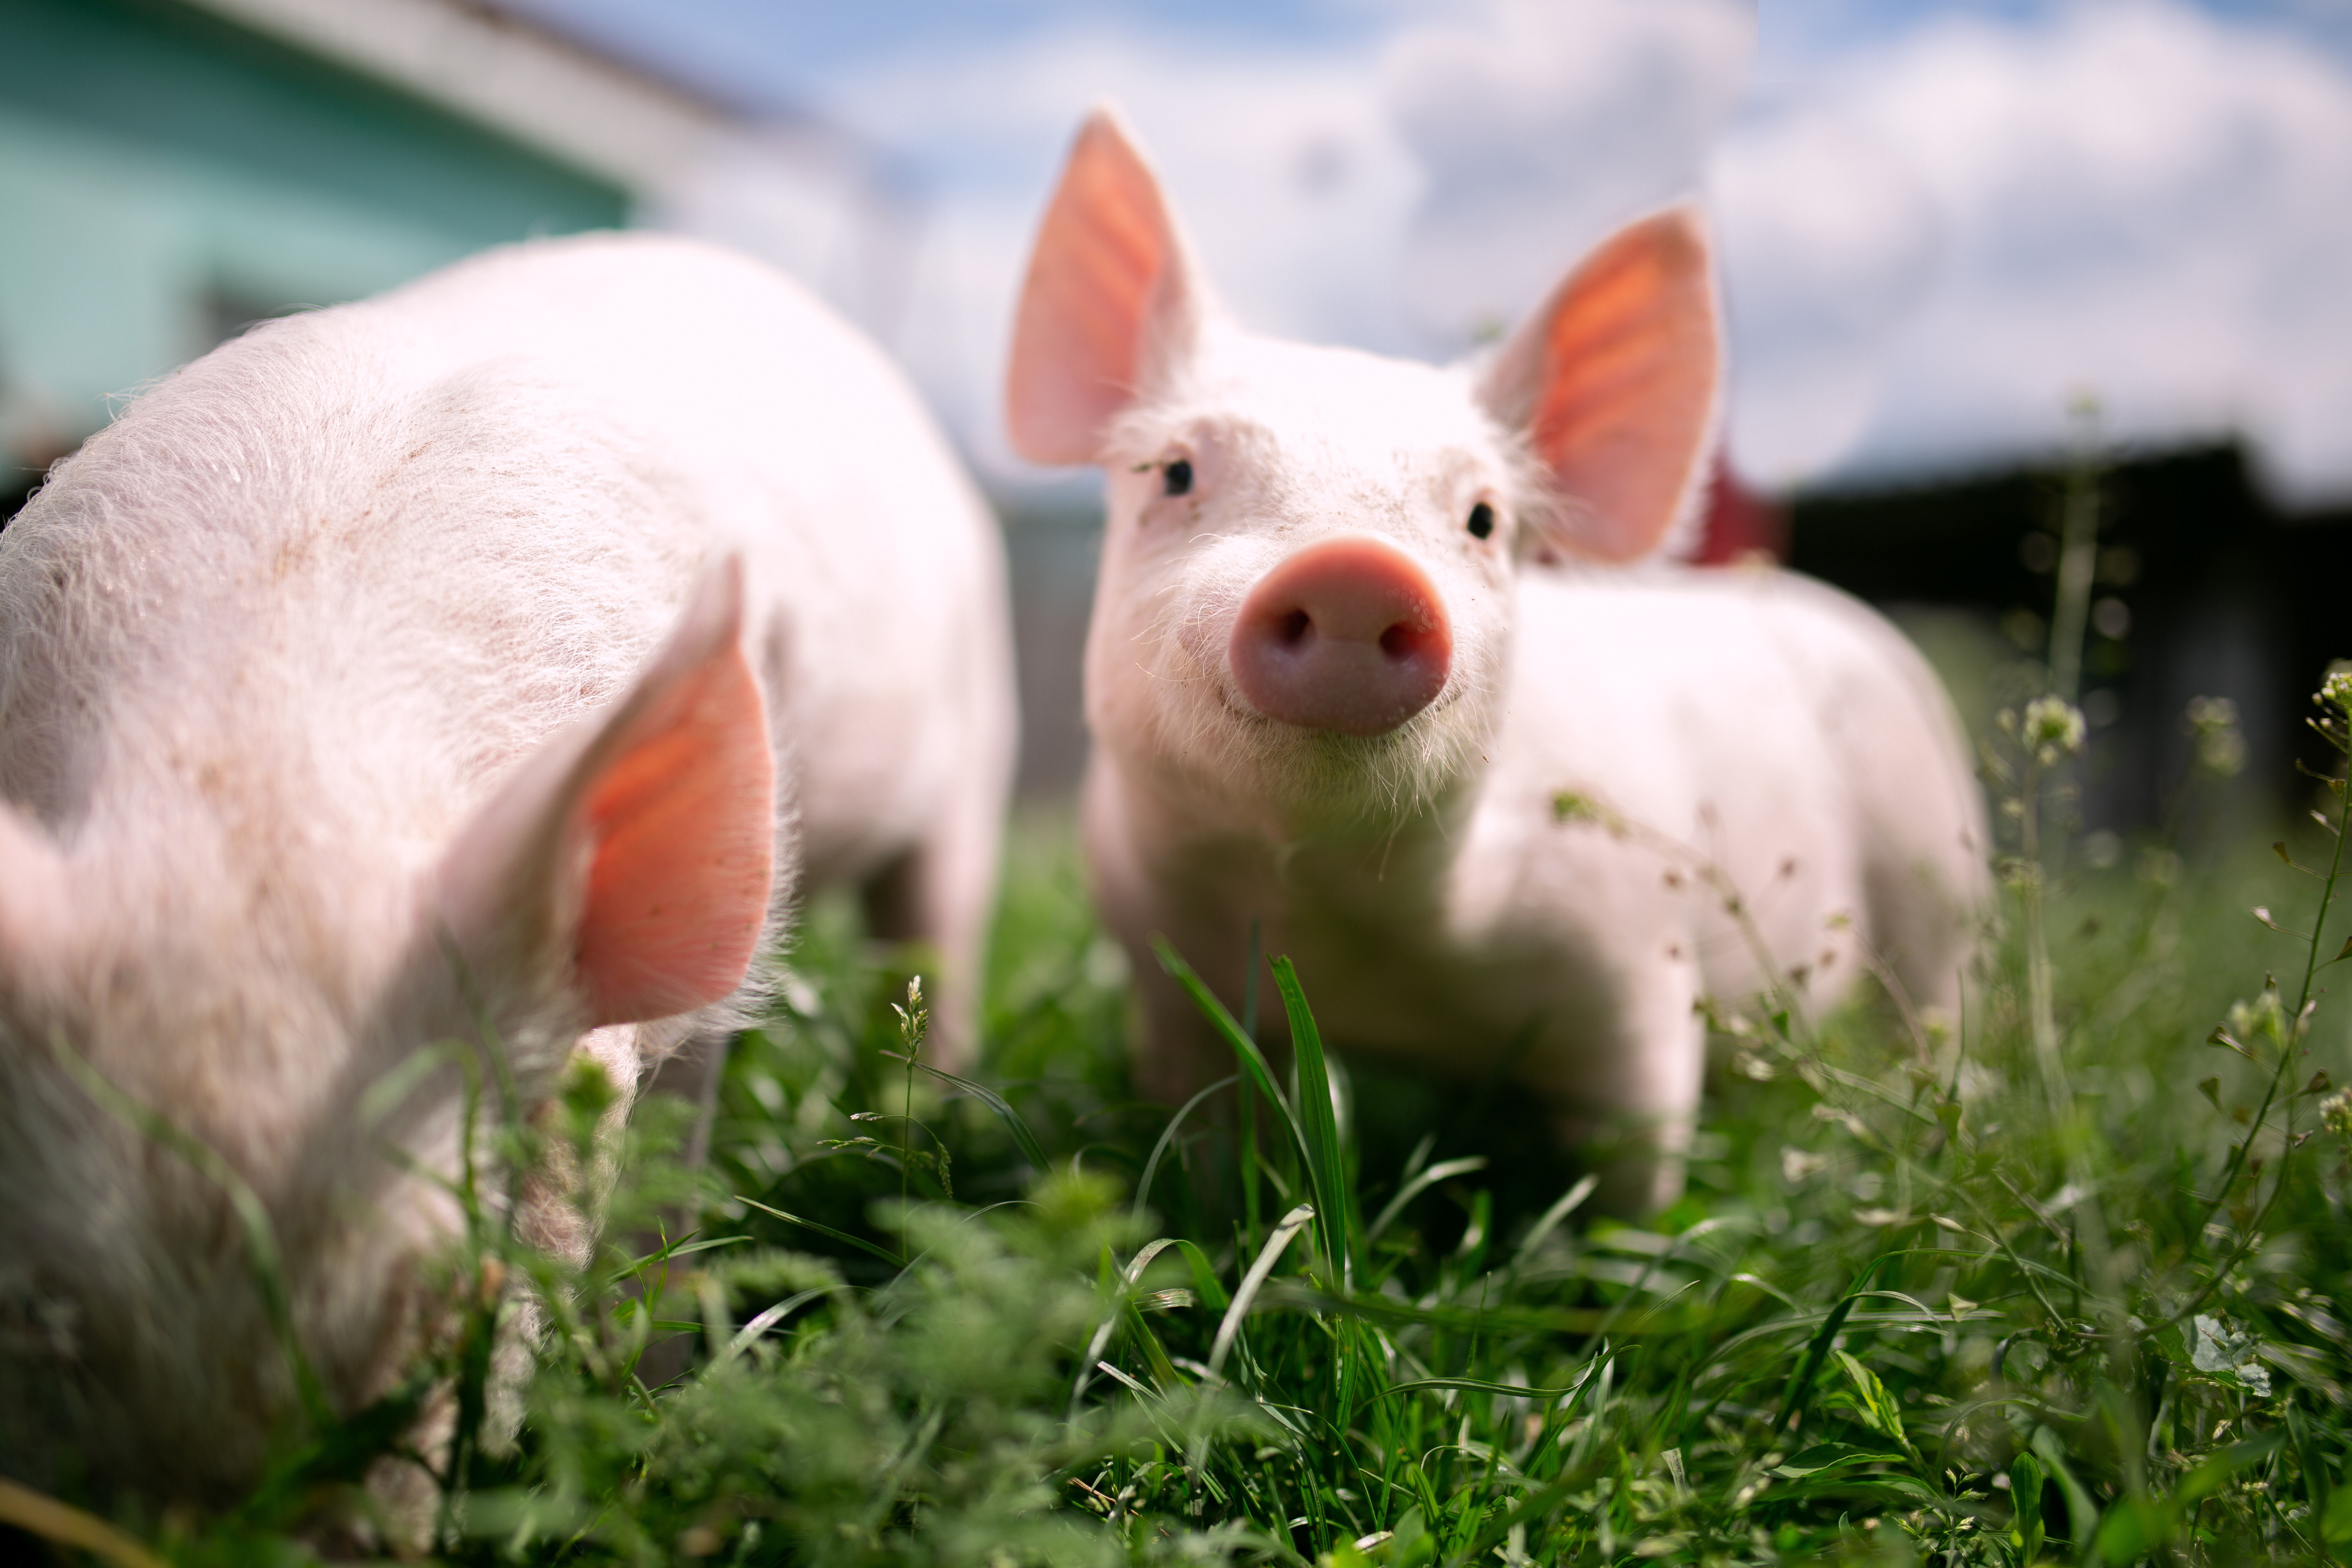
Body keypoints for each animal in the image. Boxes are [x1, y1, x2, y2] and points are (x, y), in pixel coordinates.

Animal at [1007, 109, 1986, 1208]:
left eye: (1481, 517)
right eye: (1175, 472)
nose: (1354, 568)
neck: (1342, 927)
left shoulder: (1636, 975)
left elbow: (1634, 1163)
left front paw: (1607, 1252)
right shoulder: (1167, 985)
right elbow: (1208, 1132)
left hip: (1938, 858)